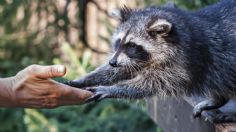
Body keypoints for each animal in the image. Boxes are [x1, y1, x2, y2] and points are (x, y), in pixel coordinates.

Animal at [64, 0, 236, 122]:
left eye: (132, 45)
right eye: (119, 42)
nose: (112, 62)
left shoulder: (184, 63)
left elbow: (152, 83)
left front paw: (113, 89)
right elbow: (122, 69)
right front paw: (85, 79)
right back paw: (218, 100)